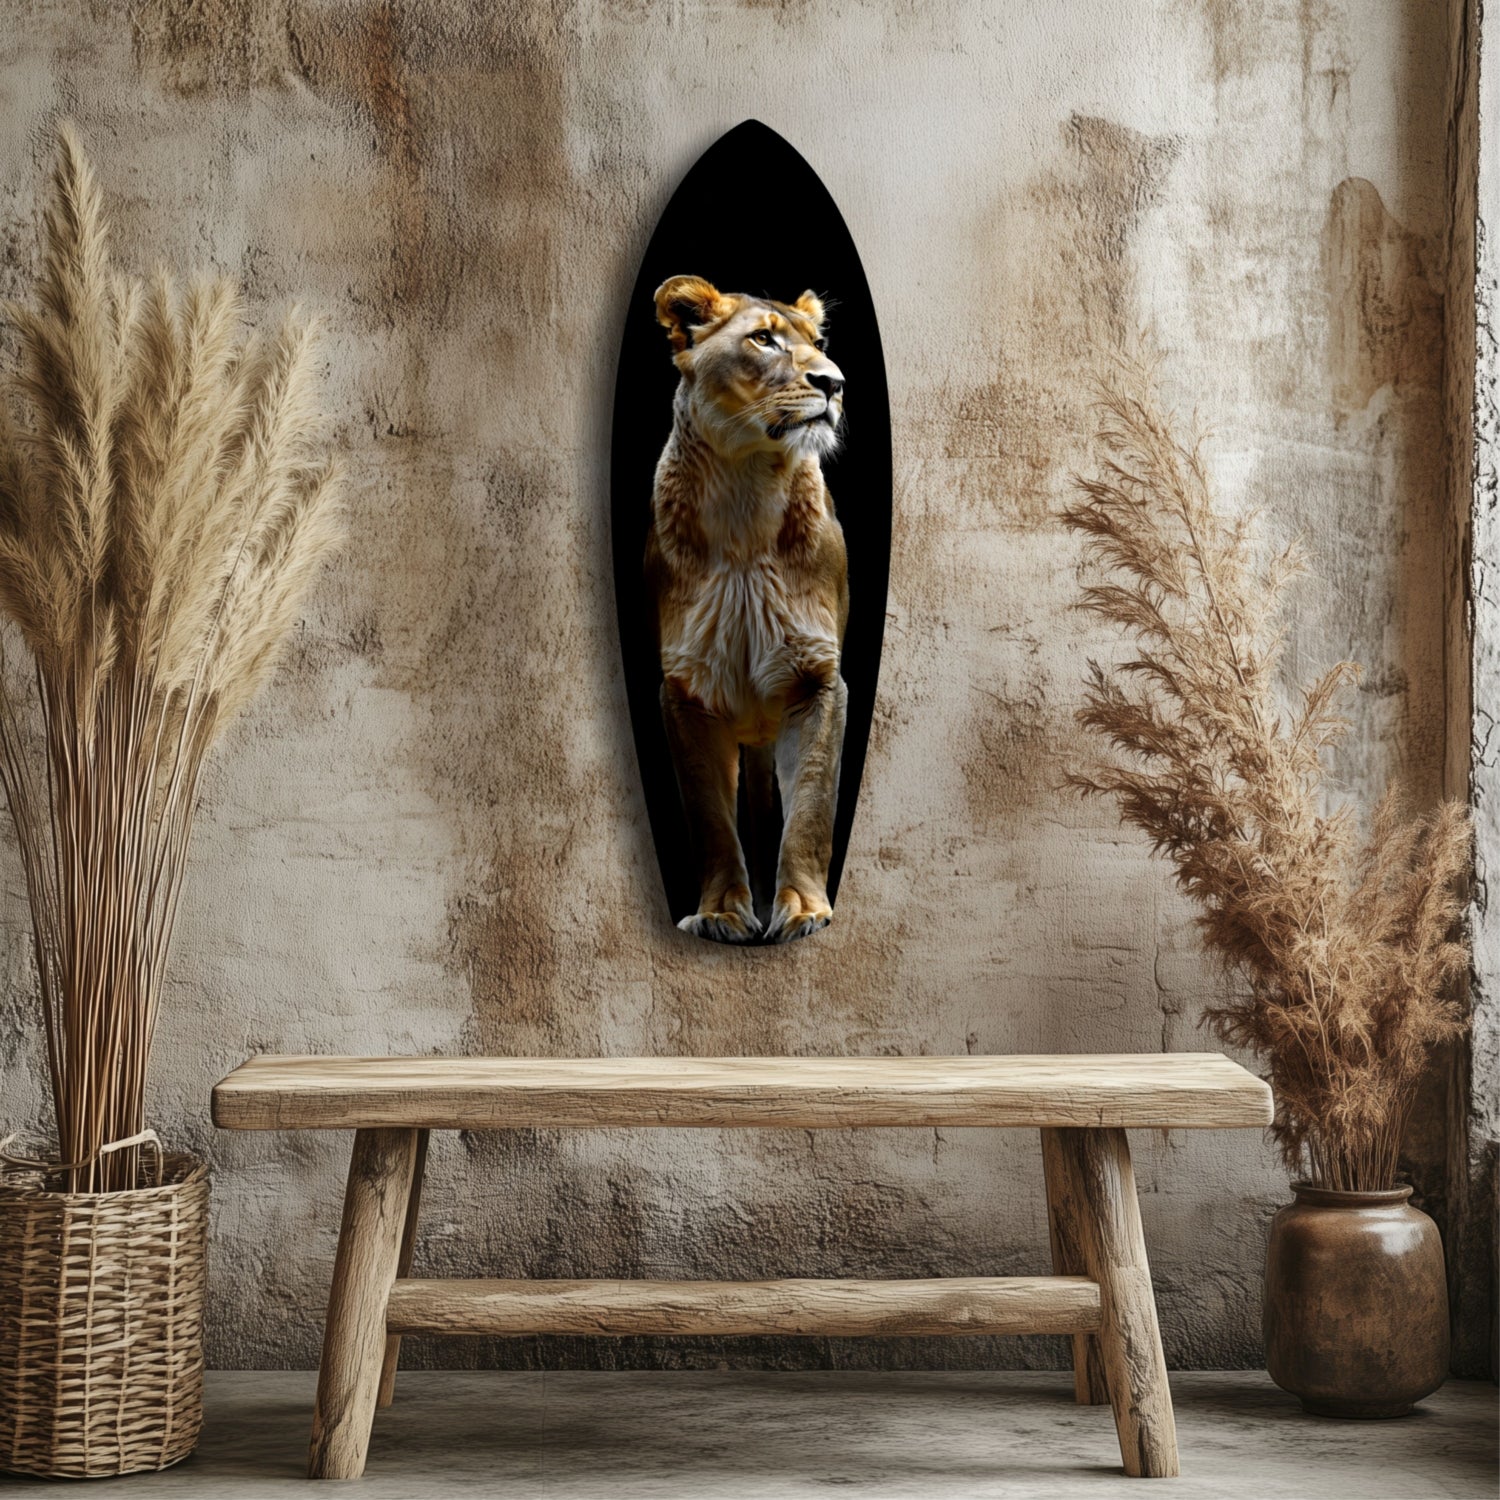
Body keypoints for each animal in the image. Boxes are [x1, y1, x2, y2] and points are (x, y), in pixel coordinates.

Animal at [645, 274, 849, 944]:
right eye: (763, 340)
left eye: (819, 344)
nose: (835, 383)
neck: (747, 493)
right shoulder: (684, 691)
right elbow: (709, 816)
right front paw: (721, 912)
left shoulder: (818, 680)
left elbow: (811, 804)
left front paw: (804, 909)